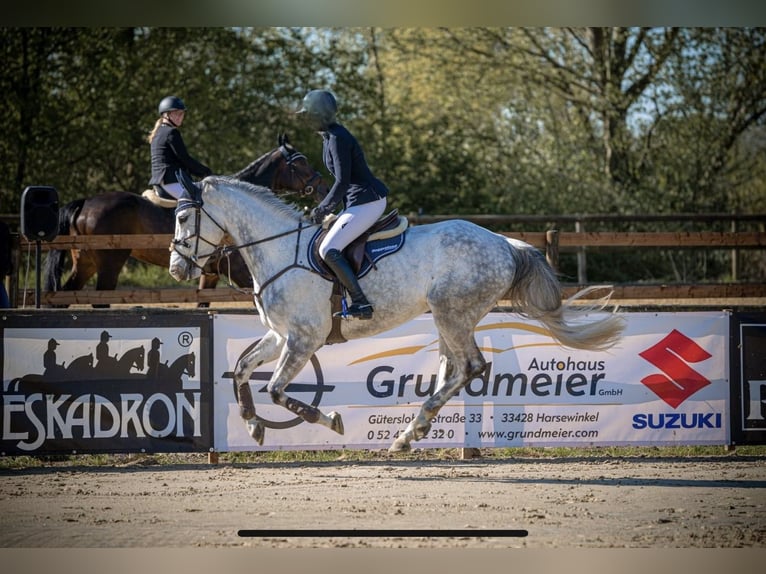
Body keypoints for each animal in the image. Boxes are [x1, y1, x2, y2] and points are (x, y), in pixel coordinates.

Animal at [45, 136, 328, 308]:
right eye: (301, 163)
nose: (322, 188)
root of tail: (86, 202)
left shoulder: (211, 274)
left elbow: (203, 305)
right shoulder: (242, 274)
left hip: (86, 261)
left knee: (68, 295)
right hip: (109, 264)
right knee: (99, 300)